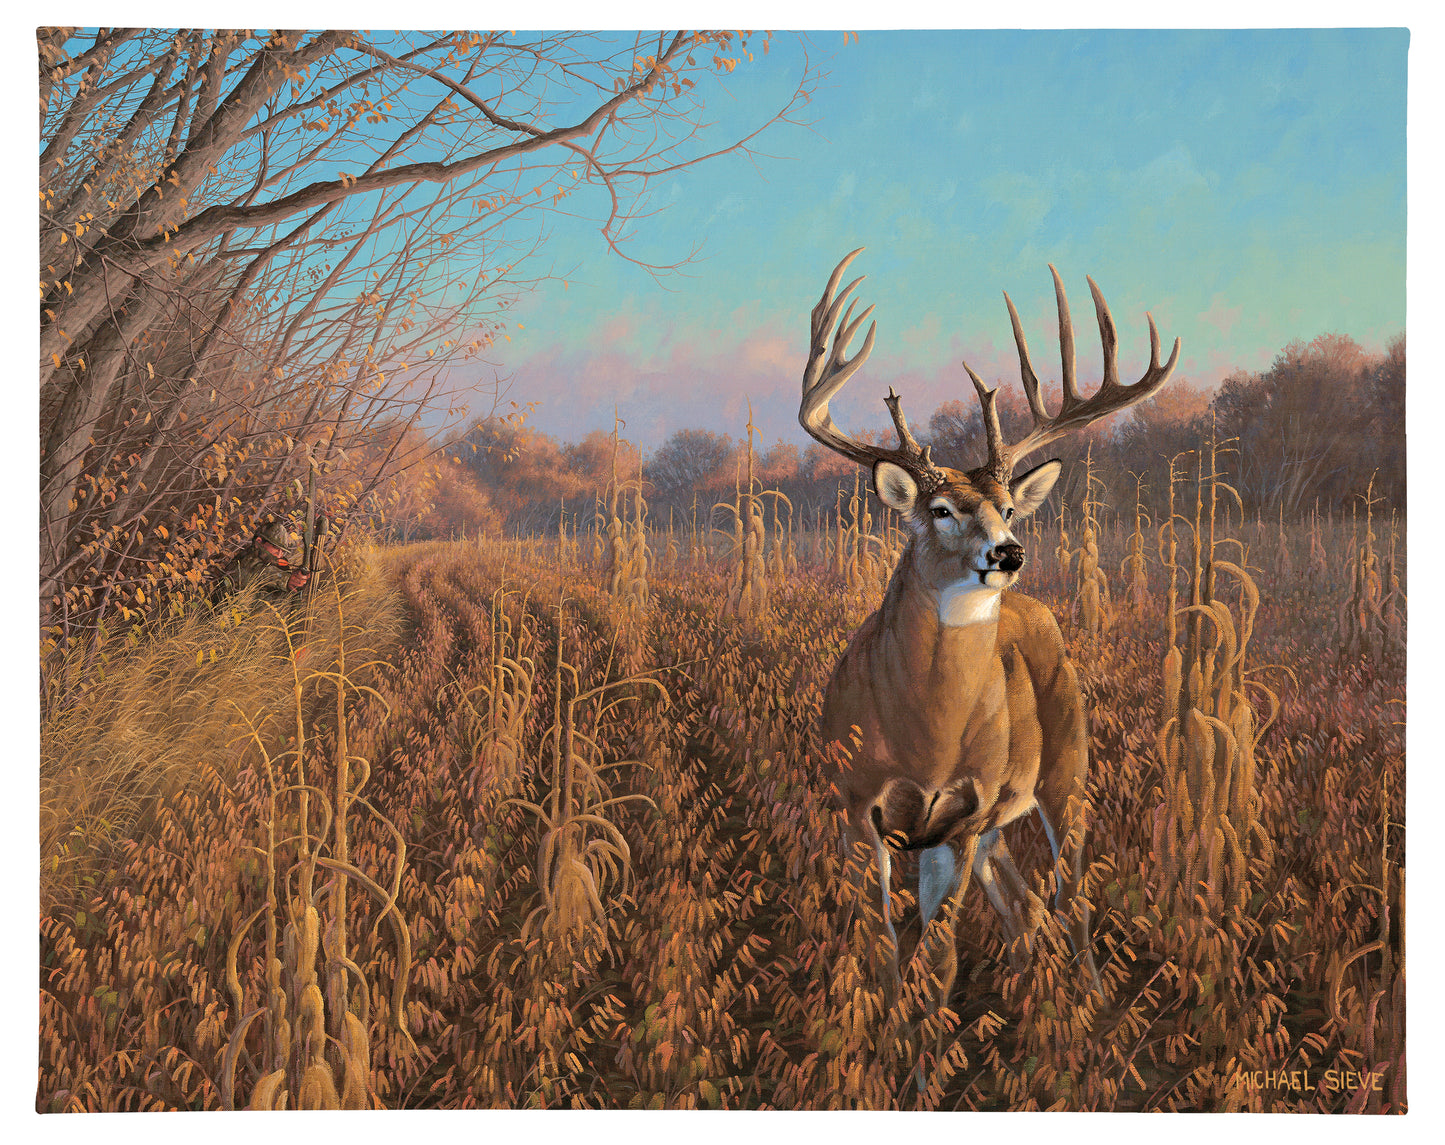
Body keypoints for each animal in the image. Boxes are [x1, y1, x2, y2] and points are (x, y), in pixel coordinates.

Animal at [801, 249, 1179, 1083]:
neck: (924, 735)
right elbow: (886, 952)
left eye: (1007, 506)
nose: (1007, 552)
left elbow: (936, 958)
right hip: (1003, 814)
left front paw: (923, 1069)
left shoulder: (962, 817)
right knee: (1026, 905)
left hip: (1067, 768)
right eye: (940, 510)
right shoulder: (856, 806)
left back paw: (1092, 1011)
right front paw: (889, 1060)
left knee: (1068, 894)